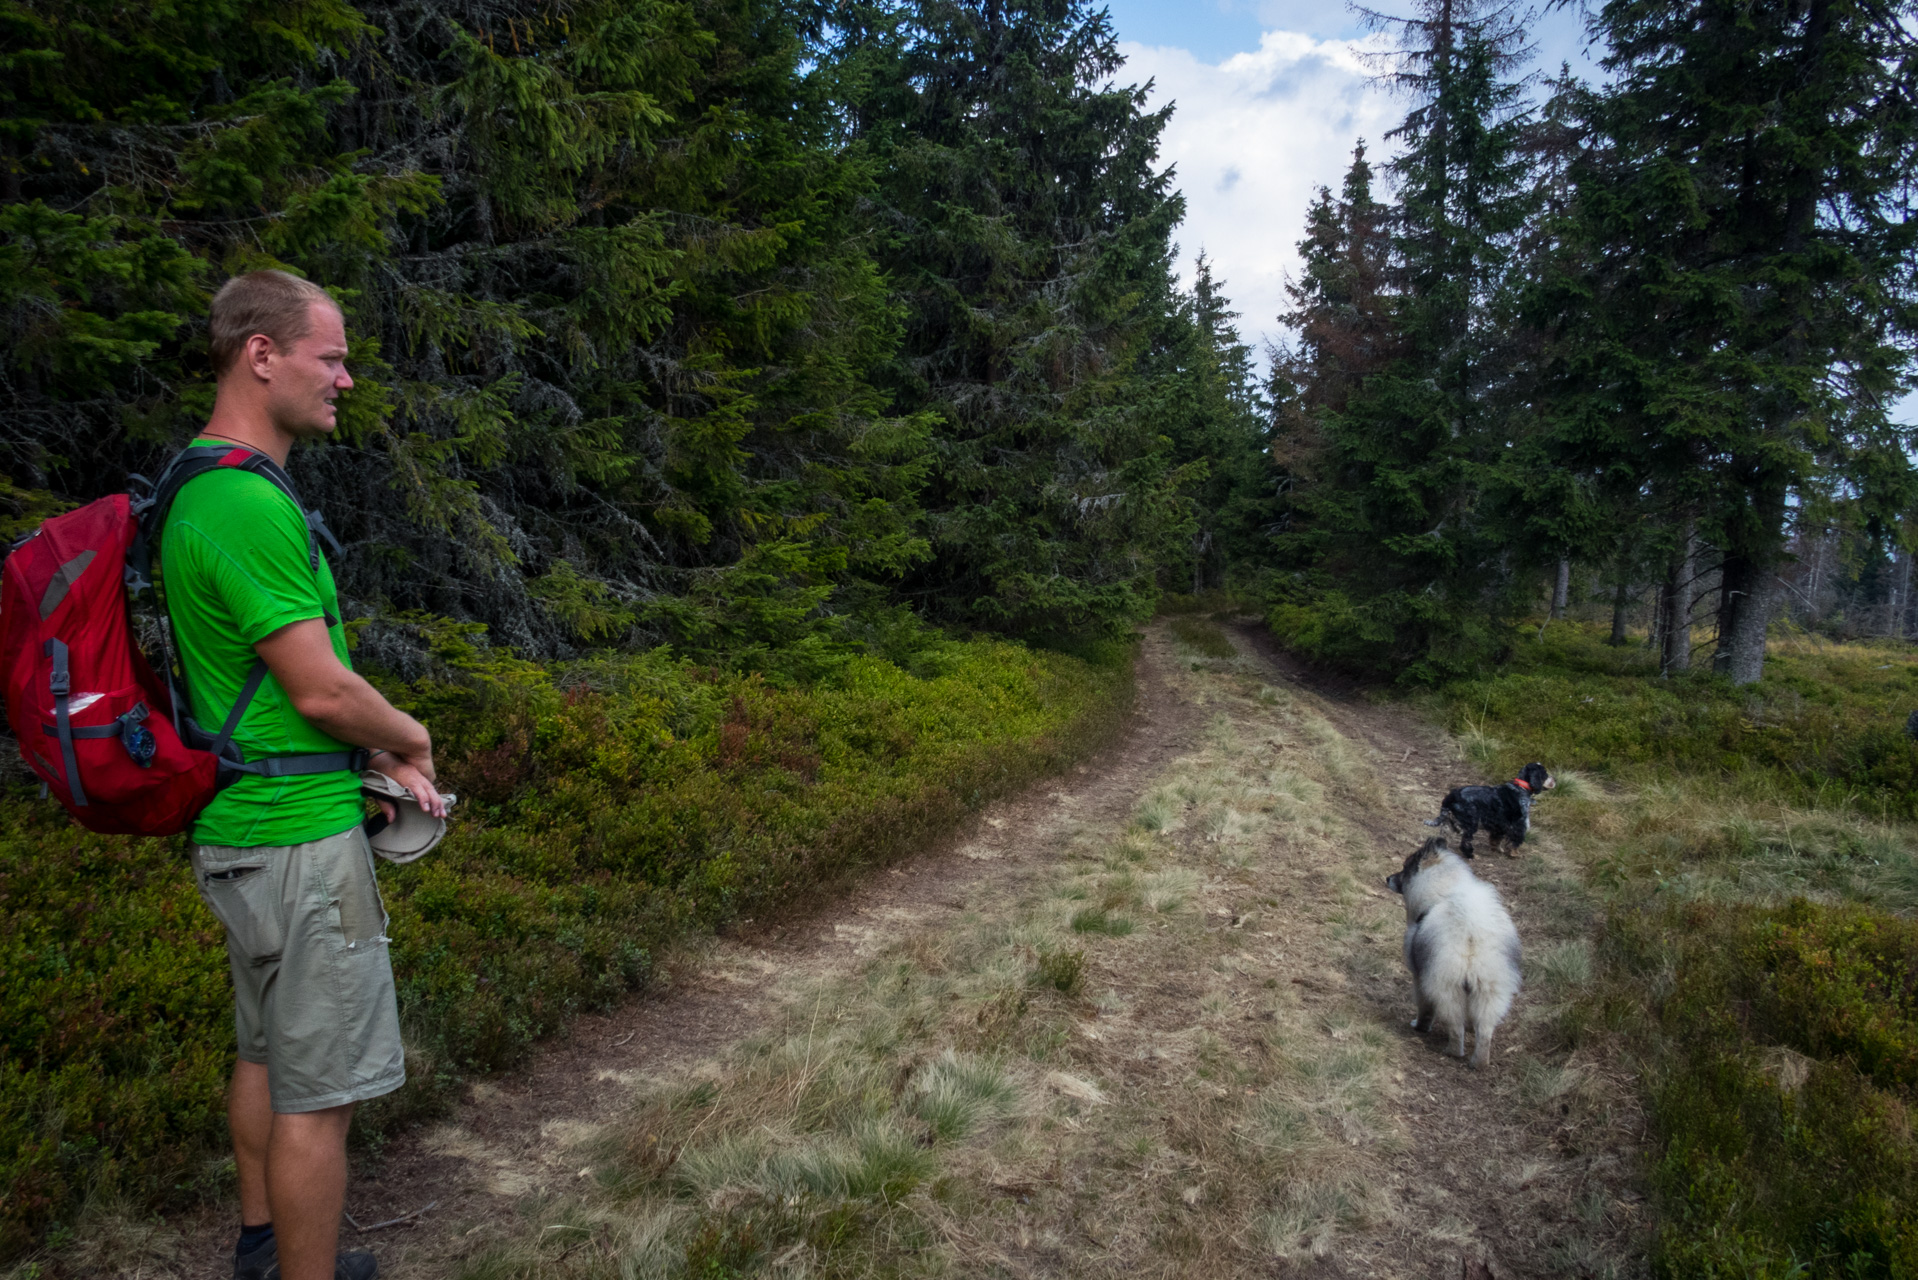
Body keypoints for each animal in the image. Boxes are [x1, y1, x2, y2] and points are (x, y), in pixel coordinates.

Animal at [1426, 767, 1557, 855]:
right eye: (1545, 774)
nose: (1554, 778)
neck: (1521, 787)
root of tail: (1451, 795)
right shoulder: (1519, 825)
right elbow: (1515, 841)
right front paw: (1514, 854)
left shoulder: (1499, 825)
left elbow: (1496, 839)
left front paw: (1497, 849)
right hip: (1471, 823)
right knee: (1465, 841)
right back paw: (1469, 854)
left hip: (1448, 822)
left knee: (1444, 836)